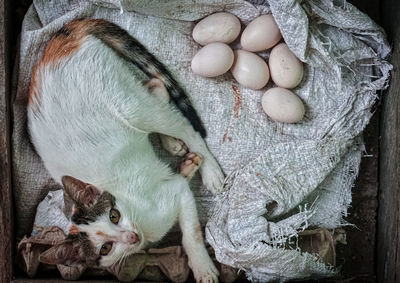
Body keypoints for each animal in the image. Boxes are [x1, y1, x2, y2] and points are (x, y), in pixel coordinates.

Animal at [27, 18, 225, 282]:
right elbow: (180, 181)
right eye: (105, 248)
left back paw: (210, 171)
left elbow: (191, 233)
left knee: (184, 125)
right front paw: (187, 165)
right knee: (156, 87)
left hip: (130, 106)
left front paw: (203, 267)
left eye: (114, 215)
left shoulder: (177, 194)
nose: (130, 237)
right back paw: (175, 145)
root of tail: (58, 40)